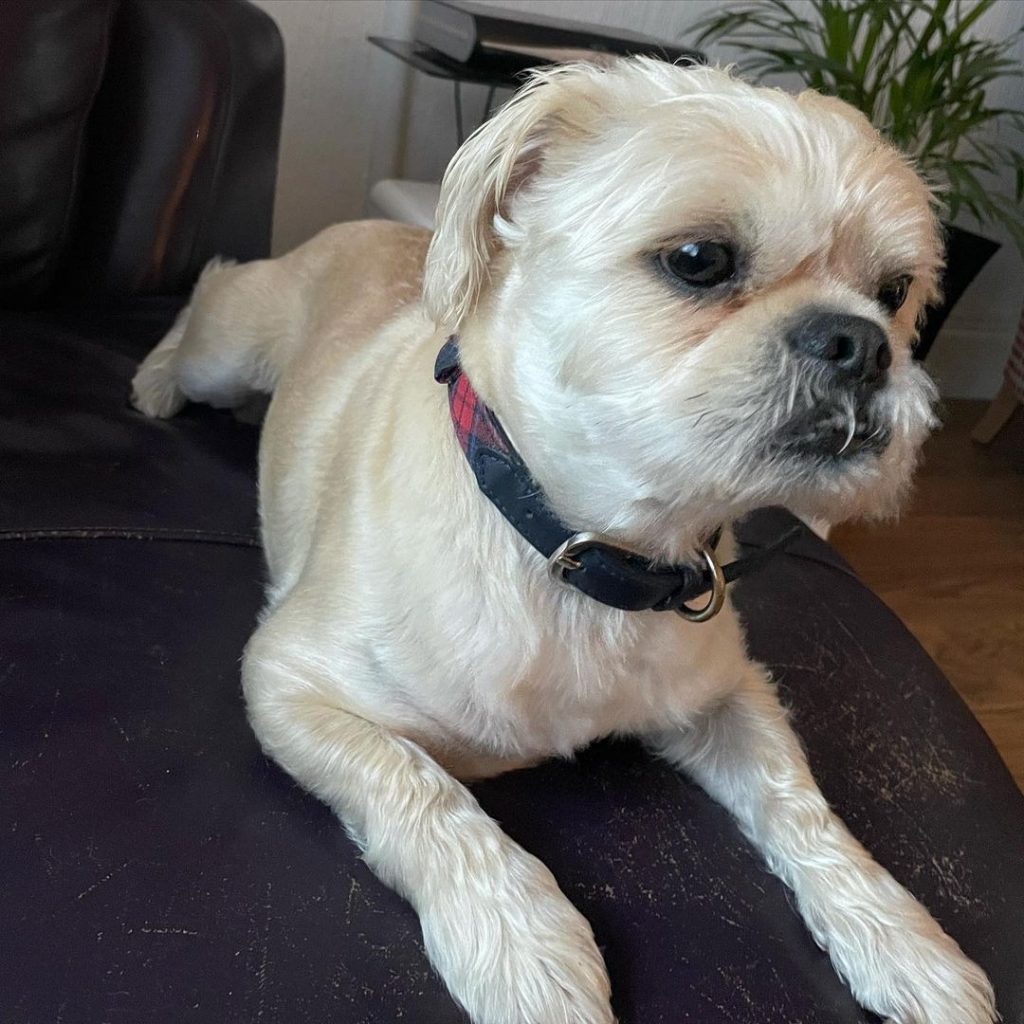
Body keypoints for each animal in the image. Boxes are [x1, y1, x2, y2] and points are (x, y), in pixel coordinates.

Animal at [132, 58, 995, 1024]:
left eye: (895, 293)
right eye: (699, 260)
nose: (861, 343)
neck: (585, 553)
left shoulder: (730, 697)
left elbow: (804, 806)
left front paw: (901, 940)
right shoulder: (290, 684)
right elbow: (421, 789)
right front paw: (523, 943)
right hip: (232, 348)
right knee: (208, 297)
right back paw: (154, 382)